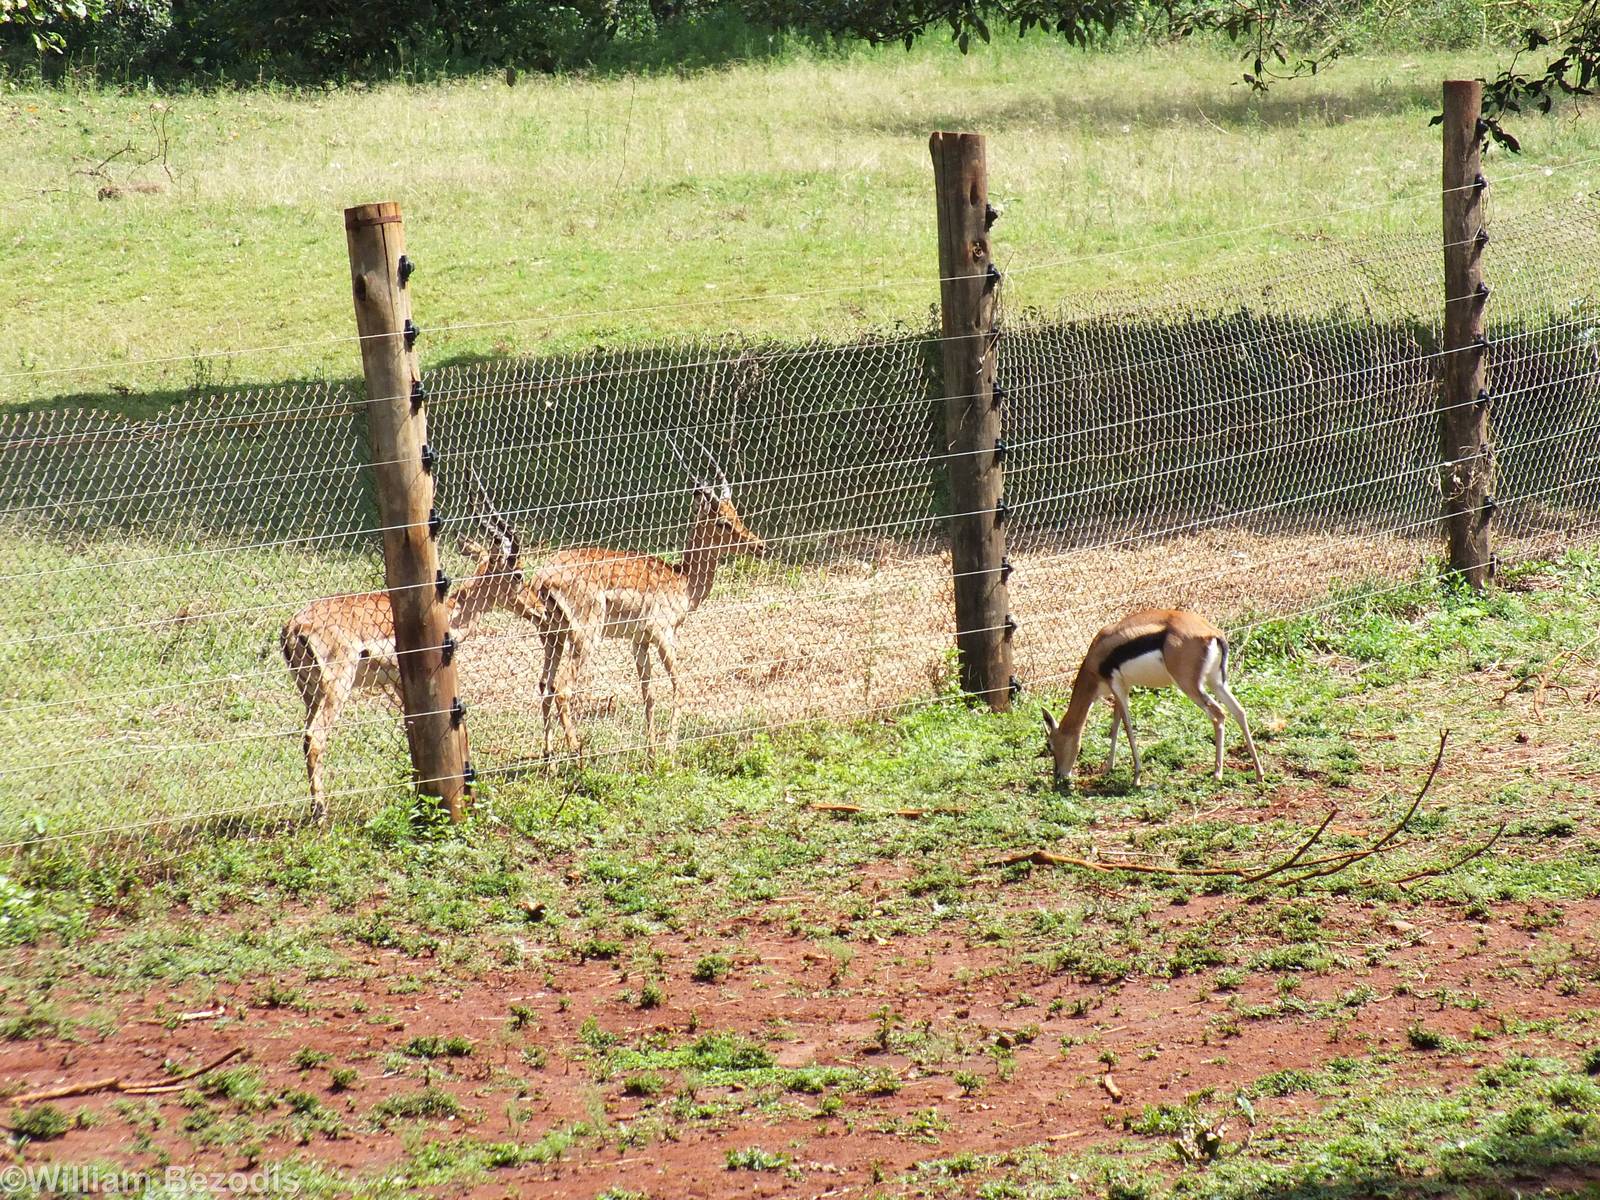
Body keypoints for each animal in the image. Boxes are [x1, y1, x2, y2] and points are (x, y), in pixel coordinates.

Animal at [281, 477, 536, 820]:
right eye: (518, 573)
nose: (537, 608)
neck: (448, 612)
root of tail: (295, 626)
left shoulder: (396, 686)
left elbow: (411, 730)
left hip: (310, 691)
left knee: (305, 735)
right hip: (337, 686)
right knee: (315, 736)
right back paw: (320, 812)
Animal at [531, 437, 766, 763]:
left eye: (736, 513)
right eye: (721, 521)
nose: (761, 546)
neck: (683, 580)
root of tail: (543, 577)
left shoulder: (638, 641)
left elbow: (648, 693)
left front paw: (652, 753)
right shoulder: (663, 634)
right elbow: (679, 686)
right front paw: (669, 752)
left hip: (553, 637)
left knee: (545, 686)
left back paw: (550, 763)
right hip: (585, 637)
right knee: (562, 688)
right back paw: (577, 756)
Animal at [1040, 609, 1264, 788]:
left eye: (1050, 745)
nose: (1059, 776)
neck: (1097, 657)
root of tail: (1213, 633)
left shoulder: (1117, 687)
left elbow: (1127, 728)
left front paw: (1136, 777)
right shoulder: (1122, 689)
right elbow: (1115, 726)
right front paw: (1107, 769)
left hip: (1190, 685)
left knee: (1218, 714)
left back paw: (1218, 774)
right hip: (1215, 682)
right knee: (1239, 711)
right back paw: (1259, 773)